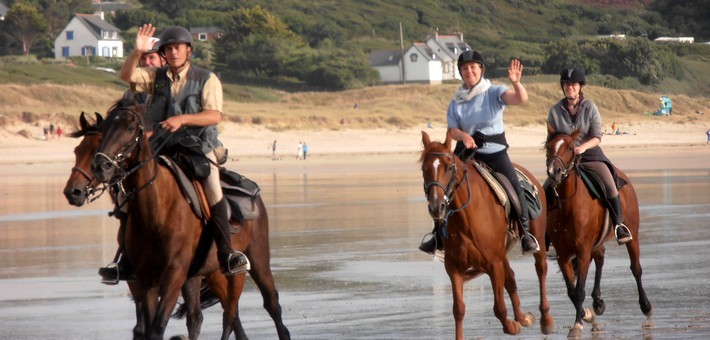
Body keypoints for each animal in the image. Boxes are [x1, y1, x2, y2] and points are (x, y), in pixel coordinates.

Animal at [422, 129, 556, 338]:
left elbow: (499, 307)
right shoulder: (454, 267)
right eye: (424, 169)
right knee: (511, 278)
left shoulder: (493, 263)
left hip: (537, 241)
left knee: (540, 269)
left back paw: (545, 319)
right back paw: (523, 317)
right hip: (502, 252)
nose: (437, 207)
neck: (466, 218)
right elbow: (458, 309)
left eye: (449, 167)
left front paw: (512, 326)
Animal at [548, 127, 652, 338]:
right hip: (595, 243)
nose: (554, 172)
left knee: (636, 268)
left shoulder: (582, 250)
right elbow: (572, 291)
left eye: (570, 147)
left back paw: (645, 305)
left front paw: (578, 323)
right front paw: (585, 315)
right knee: (601, 258)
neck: (568, 205)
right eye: (548, 147)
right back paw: (597, 302)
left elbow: (579, 290)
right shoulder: (563, 254)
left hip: (632, 235)